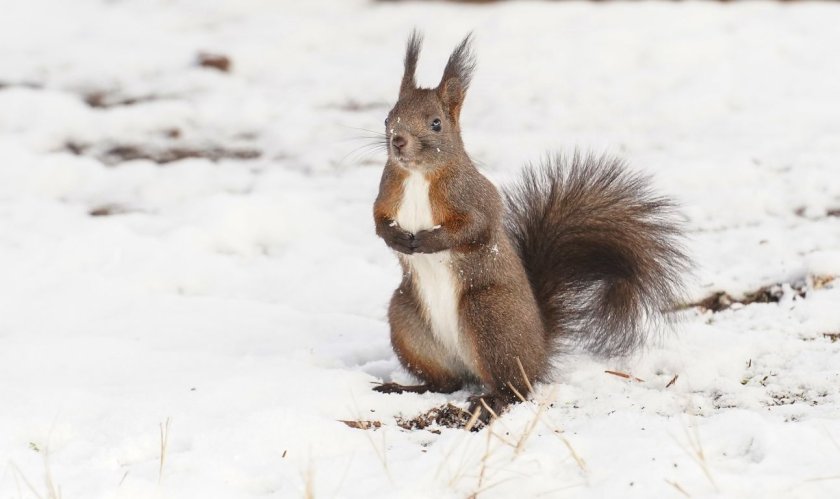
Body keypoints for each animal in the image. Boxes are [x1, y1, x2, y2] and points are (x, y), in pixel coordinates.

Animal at [372, 31, 688, 422]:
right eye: (388, 117)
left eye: (435, 123)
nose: (398, 141)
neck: (418, 175)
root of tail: (538, 350)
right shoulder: (386, 194)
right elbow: (376, 220)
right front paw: (396, 238)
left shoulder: (477, 198)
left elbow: (474, 228)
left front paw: (429, 241)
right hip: (408, 320)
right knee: (445, 382)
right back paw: (405, 387)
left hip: (489, 316)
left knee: (515, 387)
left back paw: (491, 401)